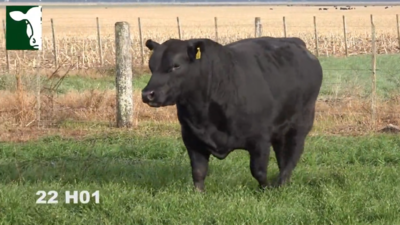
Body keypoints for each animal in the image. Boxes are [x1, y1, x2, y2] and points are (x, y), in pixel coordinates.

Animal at [142, 37, 324, 192]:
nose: (148, 94)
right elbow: (198, 171)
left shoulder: (260, 139)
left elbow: (258, 170)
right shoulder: (191, 137)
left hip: (301, 122)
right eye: (151, 66)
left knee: (292, 154)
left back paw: (281, 184)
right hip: (281, 129)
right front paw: (198, 194)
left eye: (176, 65)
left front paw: (266, 189)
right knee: (282, 153)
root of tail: (296, 42)